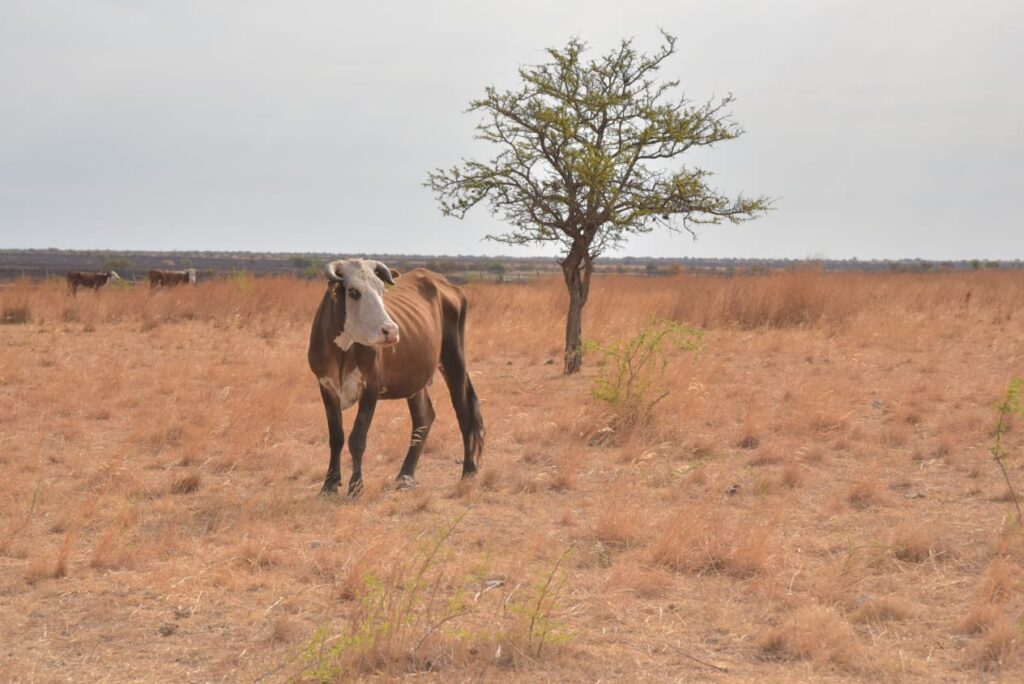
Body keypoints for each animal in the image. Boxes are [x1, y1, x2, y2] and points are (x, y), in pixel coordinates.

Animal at [307, 259, 483, 493]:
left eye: (382, 290)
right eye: (353, 292)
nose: (390, 331)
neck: (343, 351)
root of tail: (442, 282)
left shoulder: (370, 388)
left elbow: (357, 439)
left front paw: (356, 487)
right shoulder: (326, 387)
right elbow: (336, 437)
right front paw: (329, 485)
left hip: (454, 360)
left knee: (464, 413)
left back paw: (468, 471)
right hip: (416, 379)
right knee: (424, 417)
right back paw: (406, 475)